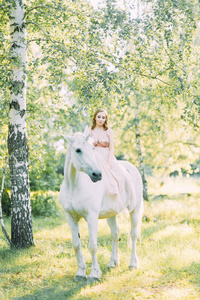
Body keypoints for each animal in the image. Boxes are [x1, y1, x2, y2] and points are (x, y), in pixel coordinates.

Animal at [58, 129, 143, 282]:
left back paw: (133, 264)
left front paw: (94, 274)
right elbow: (76, 245)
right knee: (115, 234)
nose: (97, 174)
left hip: (134, 210)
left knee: (133, 235)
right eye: (78, 150)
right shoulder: (70, 217)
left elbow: (92, 246)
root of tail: (132, 168)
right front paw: (80, 273)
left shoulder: (91, 217)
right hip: (111, 214)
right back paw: (113, 263)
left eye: (92, 148)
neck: (74, 186)